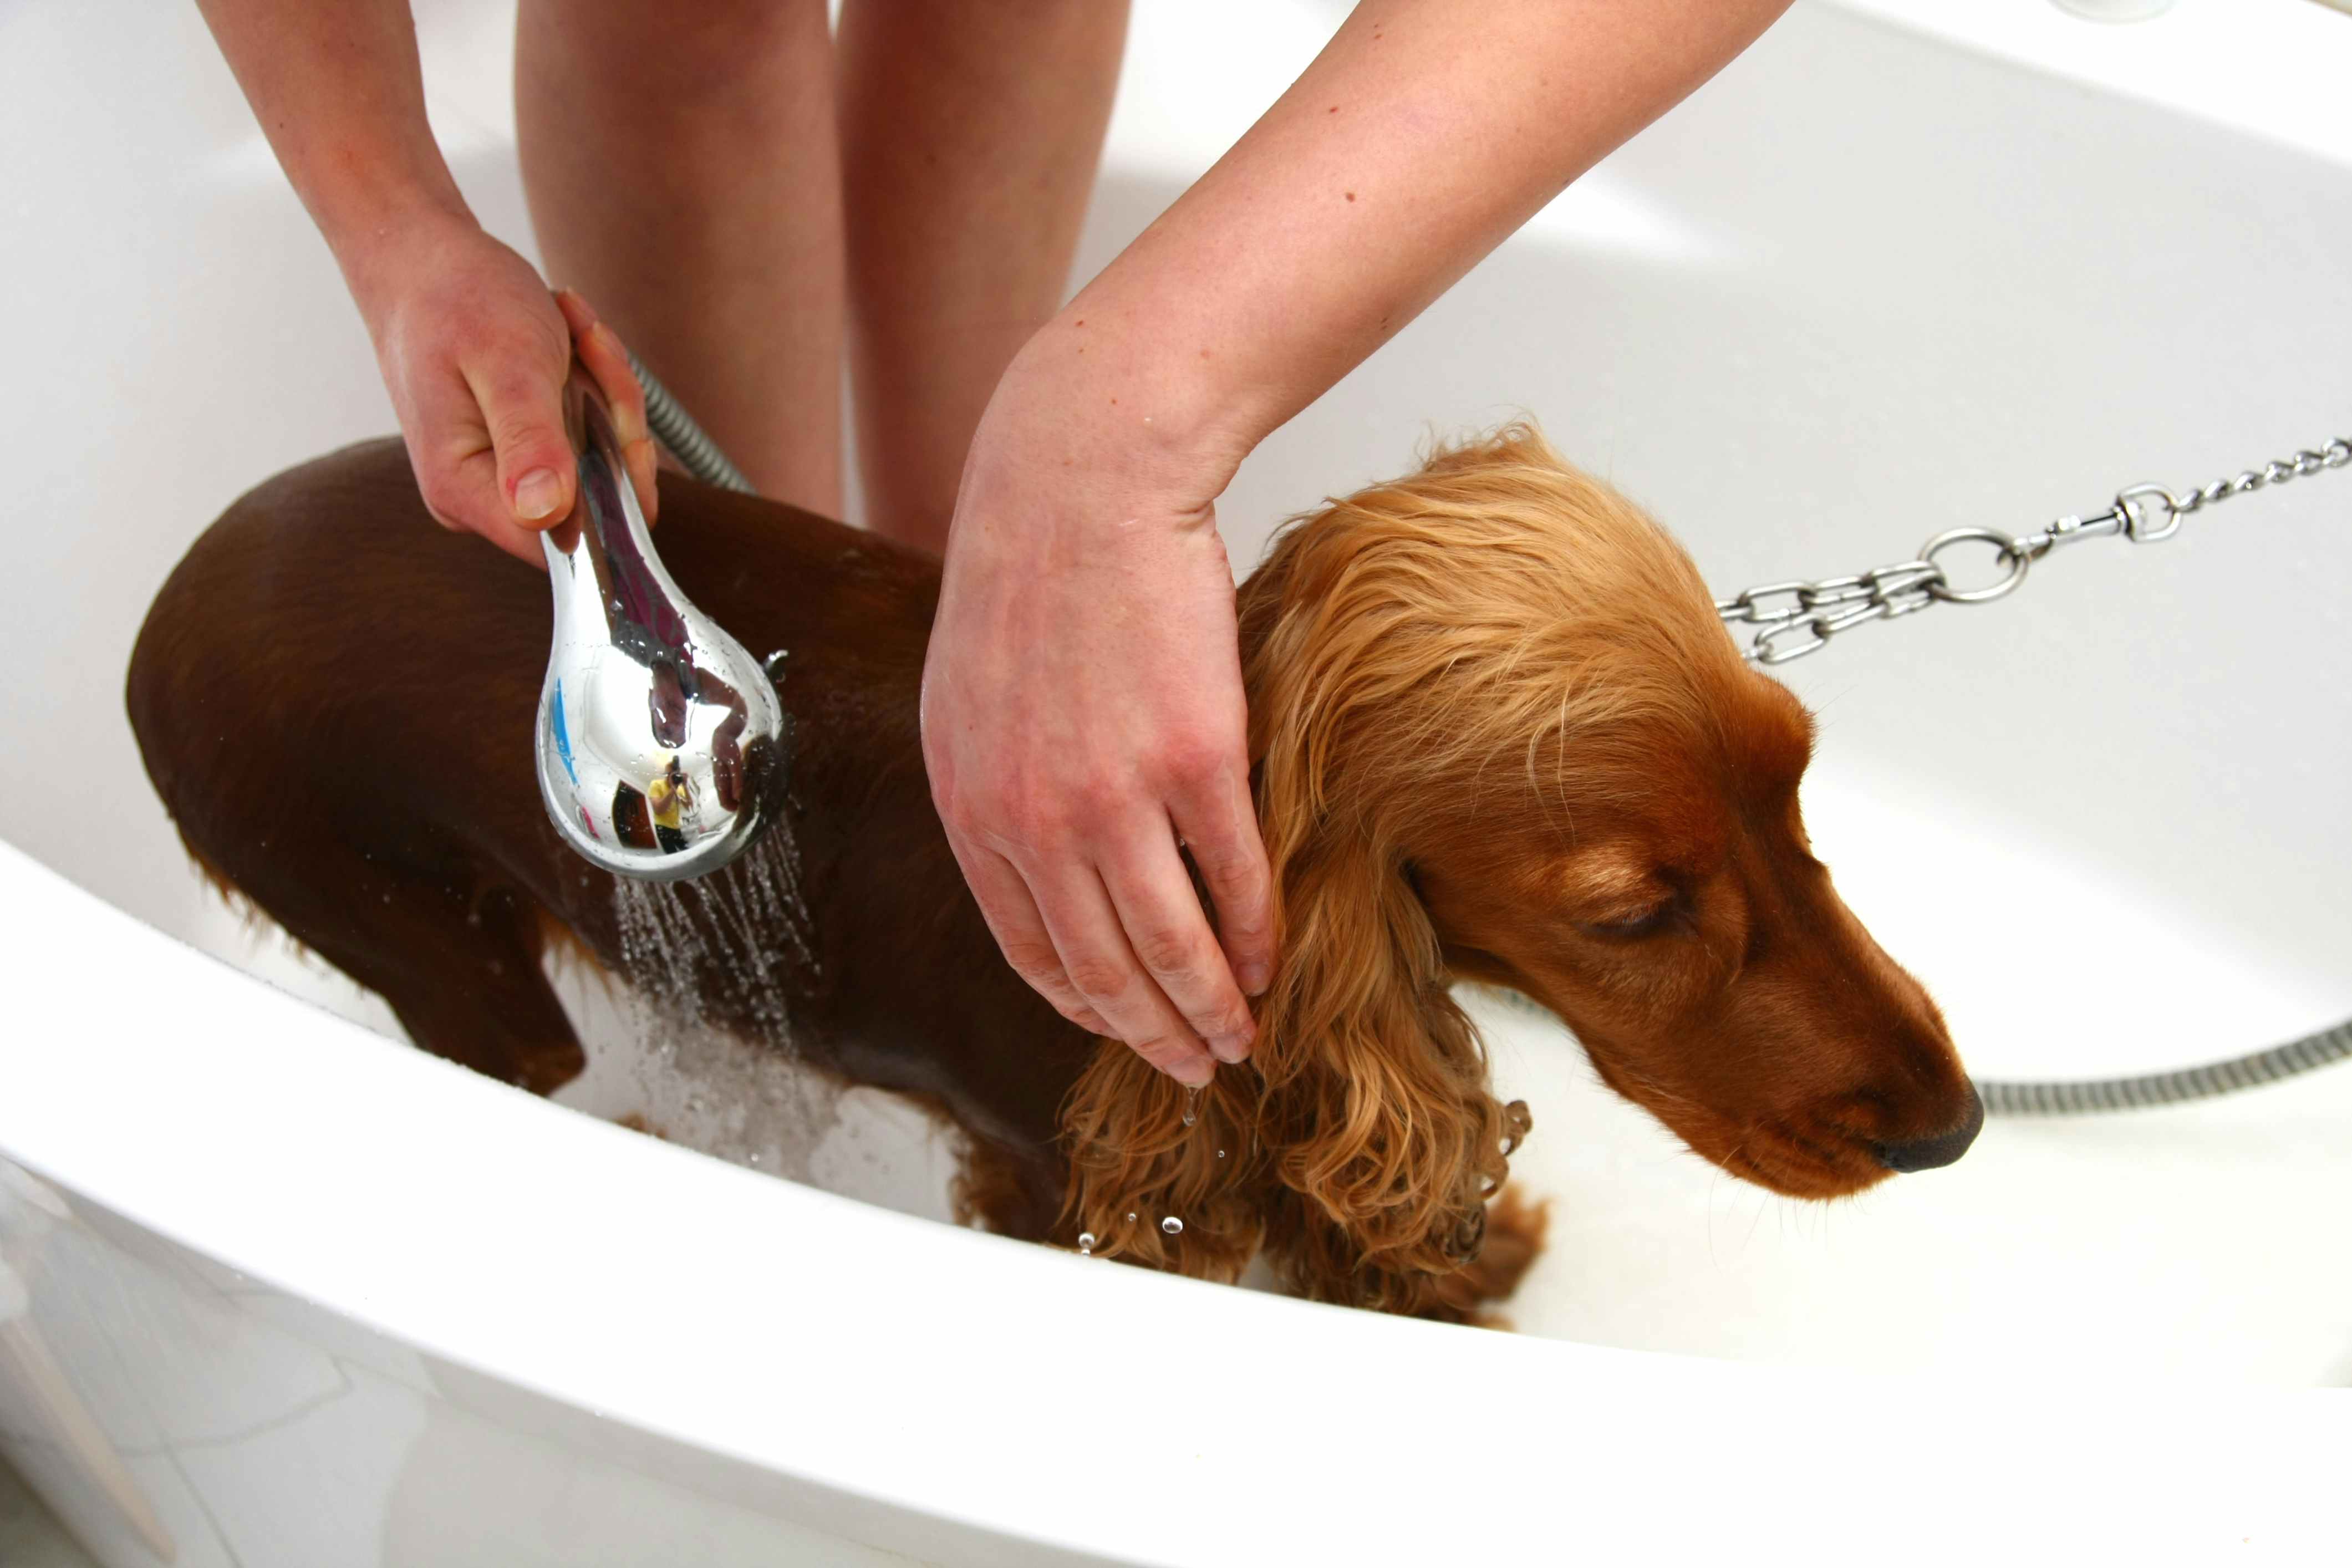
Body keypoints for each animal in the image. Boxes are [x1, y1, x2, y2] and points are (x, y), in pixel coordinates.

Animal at [119, 423, 1976, 1316]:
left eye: (1798, 787)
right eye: (1633, 910)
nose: (1952, 1130)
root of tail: (178, 578)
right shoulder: (1050, 1168)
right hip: (408, 923)